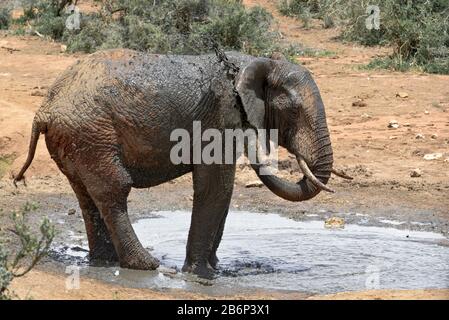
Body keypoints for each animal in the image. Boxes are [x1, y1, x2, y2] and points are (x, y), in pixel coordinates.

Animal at [14, 48, 348, 278]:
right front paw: (202, 274)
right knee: (113, 190)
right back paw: (147, 265)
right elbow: (215, 188)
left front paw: (215, 267)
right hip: (91, 132)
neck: (255, 61)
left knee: (86, 194)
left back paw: (105, 262)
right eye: (293, 109)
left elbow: (223, 193)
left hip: (77, 137)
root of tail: (45, 109)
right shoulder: (219, 118)